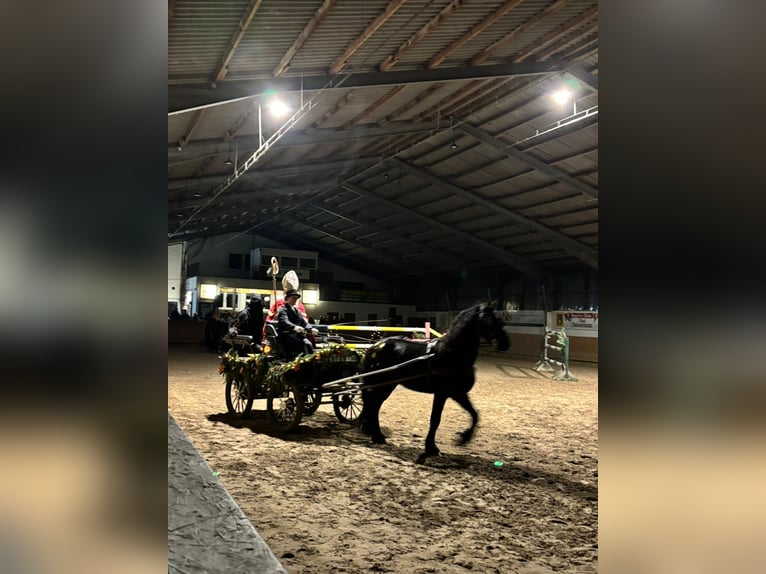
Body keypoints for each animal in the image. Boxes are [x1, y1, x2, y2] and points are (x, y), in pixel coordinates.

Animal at [360, 304, 510, 466]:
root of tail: (376, 346)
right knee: (372, 405)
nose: (506, 343)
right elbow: (435, 420)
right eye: (489, 319)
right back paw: (374, 434)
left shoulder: (458, 393)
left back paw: (376, 435)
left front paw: (464, 438)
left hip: (388, 385)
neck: (452, 352)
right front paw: (431, 448)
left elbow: (475, 414)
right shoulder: (441, 393)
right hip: (380, 383)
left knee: (374, 405)